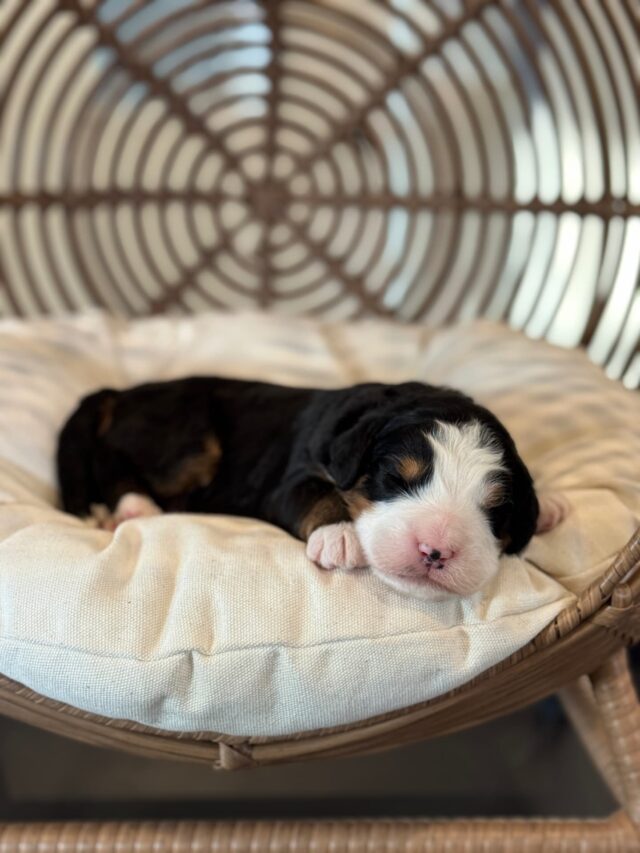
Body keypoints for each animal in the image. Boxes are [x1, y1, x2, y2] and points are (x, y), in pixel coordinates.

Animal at [57, 380, 568, 600]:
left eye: (495, 511)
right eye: (395, 479)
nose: (434, 550)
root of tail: (119, 392)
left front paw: (548, 506)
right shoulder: (291, 475)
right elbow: (318, 496)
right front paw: (340, 536)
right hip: (187, 435)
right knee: (113, 459)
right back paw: (134, 507)